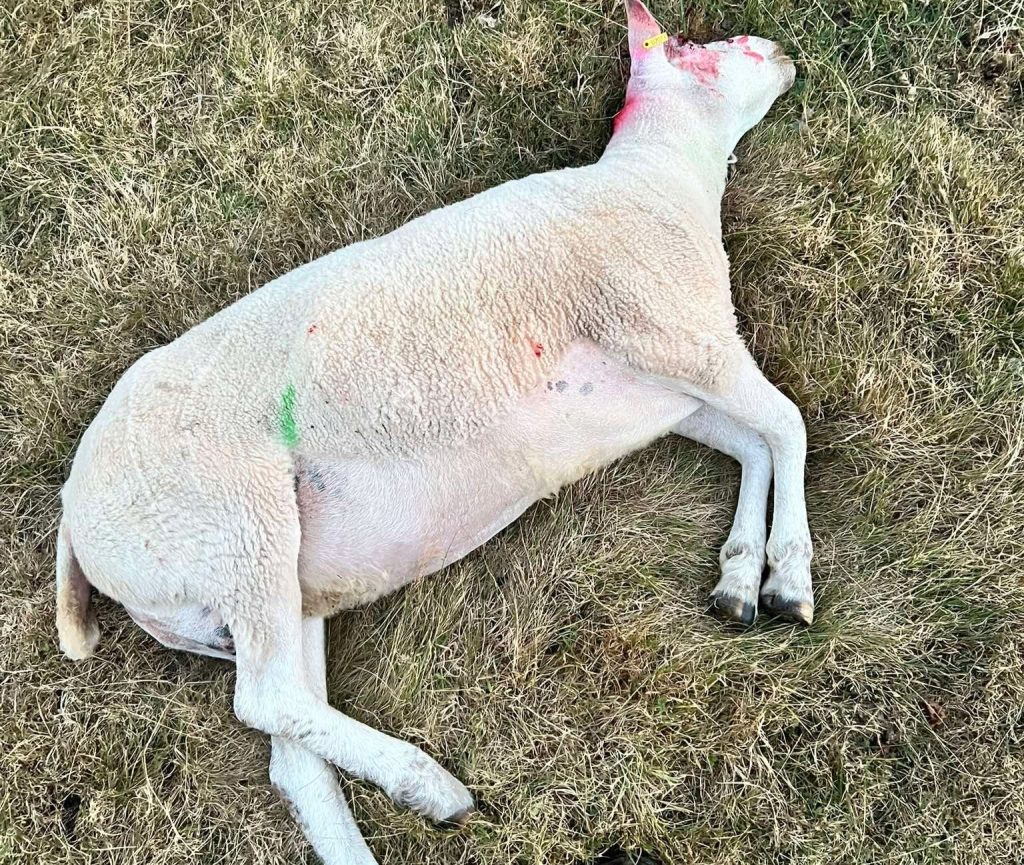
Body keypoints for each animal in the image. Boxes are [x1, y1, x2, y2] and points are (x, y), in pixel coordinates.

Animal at [54, 2, 812, 862]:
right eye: (712, 48)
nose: (781, 51)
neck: (662, 177)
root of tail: (74, 516)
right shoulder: (675, 329)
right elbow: (785, 423)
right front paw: (789, 582)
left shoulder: (666, 387)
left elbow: (753, 440)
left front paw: (740, 581)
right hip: (230, 523)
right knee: (263, 698)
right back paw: (431, 785)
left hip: (272, 586)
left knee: (292, 751)